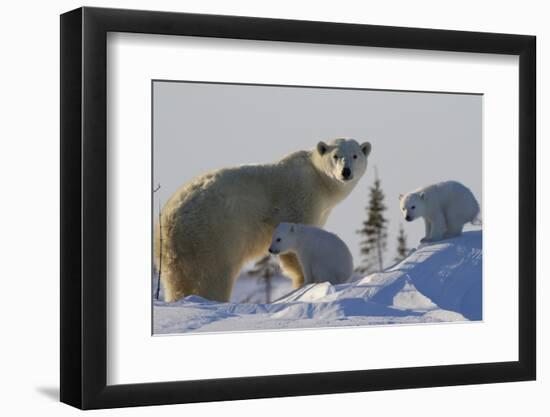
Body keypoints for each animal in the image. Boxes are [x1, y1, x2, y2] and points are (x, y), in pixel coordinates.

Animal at [153, 138, 374, 300]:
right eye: (336, 156)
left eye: (355, 155)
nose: (346, 172)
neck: (318, 179)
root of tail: (169, 222)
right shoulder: (300, 199)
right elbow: (294, 248)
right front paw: (302, 282)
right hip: (213, 237)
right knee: (214, 277)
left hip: (175, 257)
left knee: (177, 283)